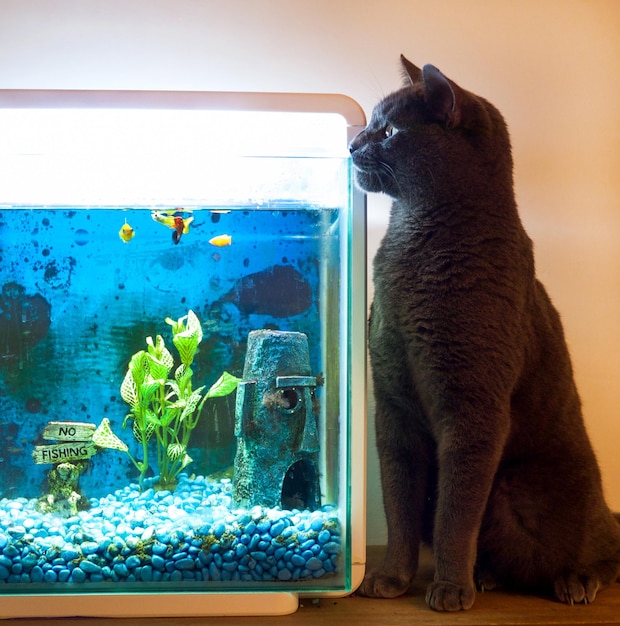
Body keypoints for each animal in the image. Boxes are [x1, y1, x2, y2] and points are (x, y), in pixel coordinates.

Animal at [352, 54, 616, 608]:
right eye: (372, 124)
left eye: (388, 130)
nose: (351, 145)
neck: (413, 250)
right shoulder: (392, 406)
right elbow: (399, 504)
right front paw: (389, 578)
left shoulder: (474, 408)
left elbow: (455, 513)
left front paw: (451, 588)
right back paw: (490, 575)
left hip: (530, 493)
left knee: (604, 547)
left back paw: (575, 580)